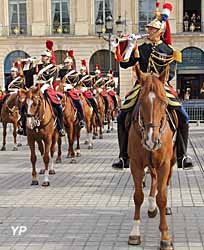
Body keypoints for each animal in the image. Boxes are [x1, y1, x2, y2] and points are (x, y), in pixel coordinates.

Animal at [127, 65, 177, 250]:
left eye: (163, 102)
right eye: (141, 102)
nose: (151, 140)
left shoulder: (164, 164)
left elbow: (162, 197)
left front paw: (165, 237)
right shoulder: (135, 164)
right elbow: (138, 196)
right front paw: (135, 232)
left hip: (171, 161)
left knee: (164, 183)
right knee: (154, 179)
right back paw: (151, 206)